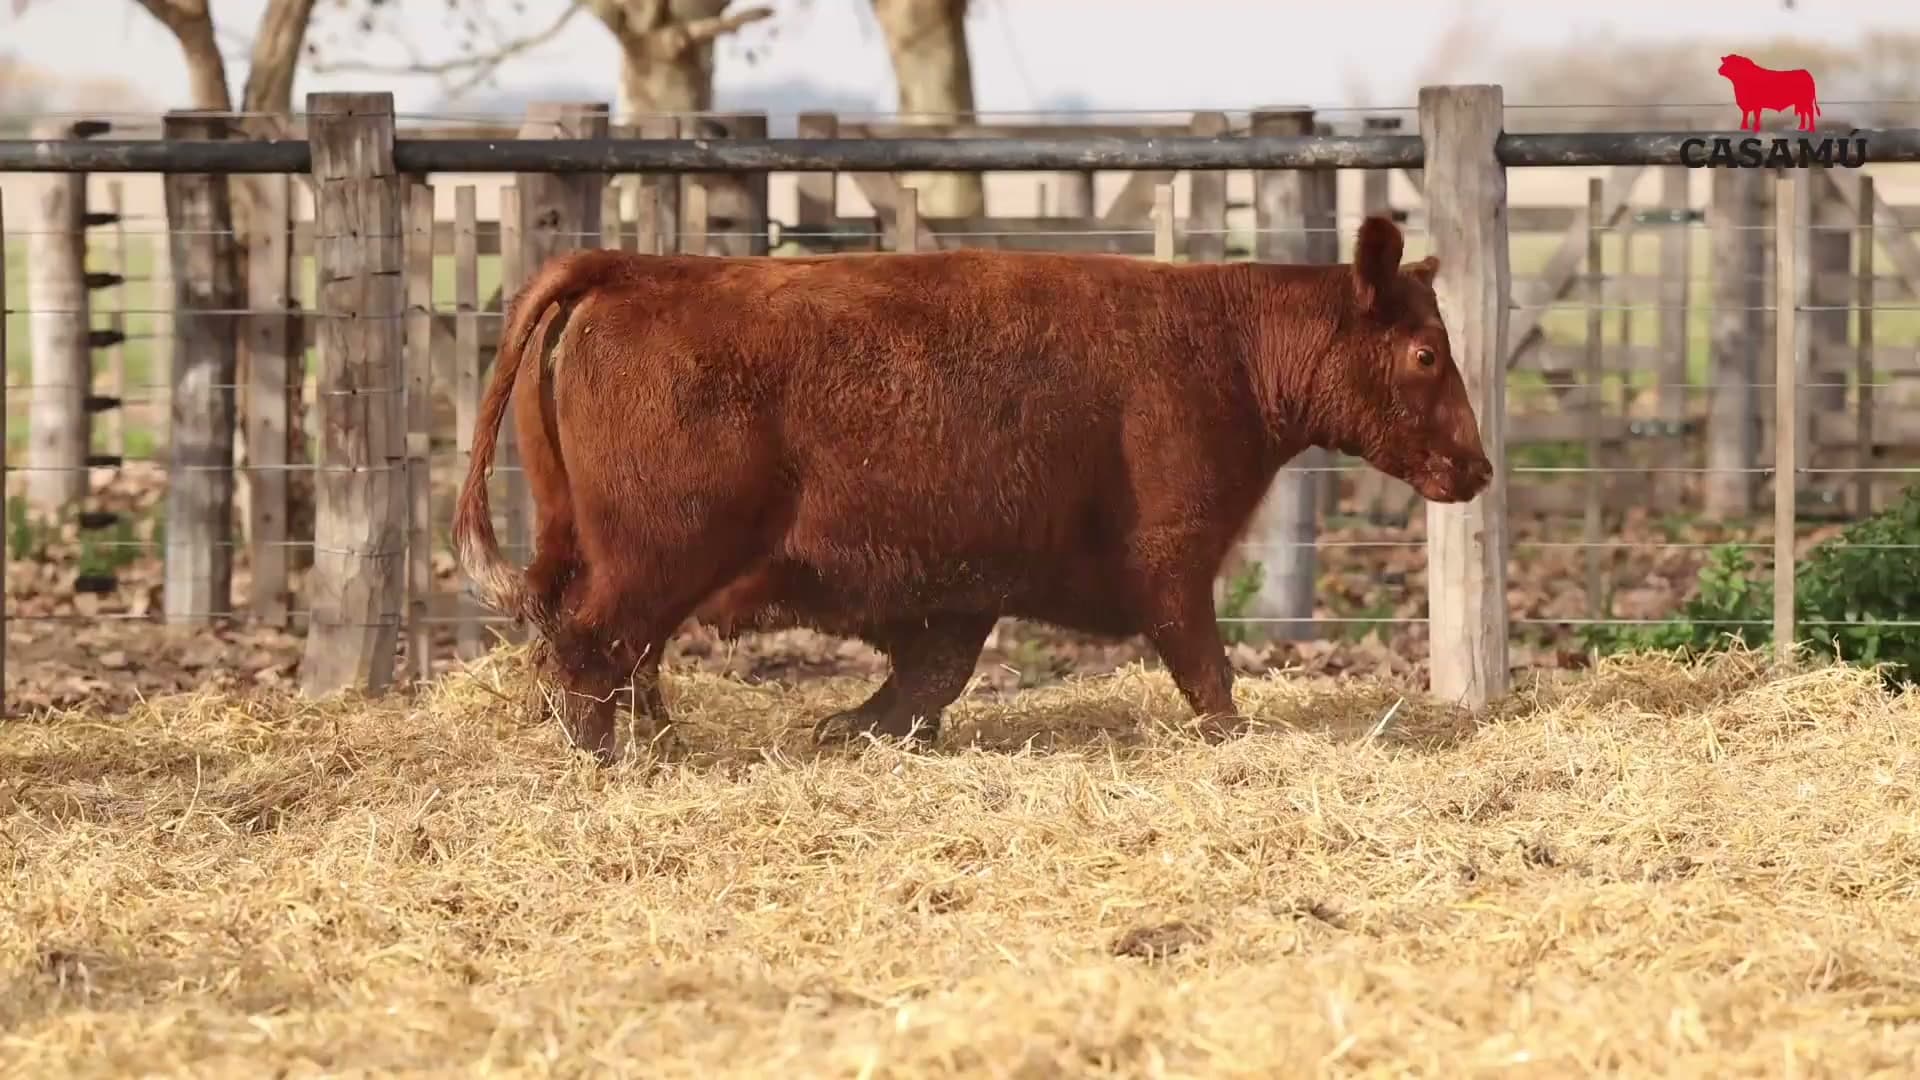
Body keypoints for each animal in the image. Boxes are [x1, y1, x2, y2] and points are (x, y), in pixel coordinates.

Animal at [452, 215, 1492, 764]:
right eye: (1425, 352)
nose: (1478, 467)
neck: (1228, 347)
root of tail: (629, 266)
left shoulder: (961, 580)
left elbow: (929, 675)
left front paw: (850, 726)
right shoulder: (1173, 555)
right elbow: (1207, 670)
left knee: (612, 649)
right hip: (657, 551)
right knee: (590, 645)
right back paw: (613, 754)